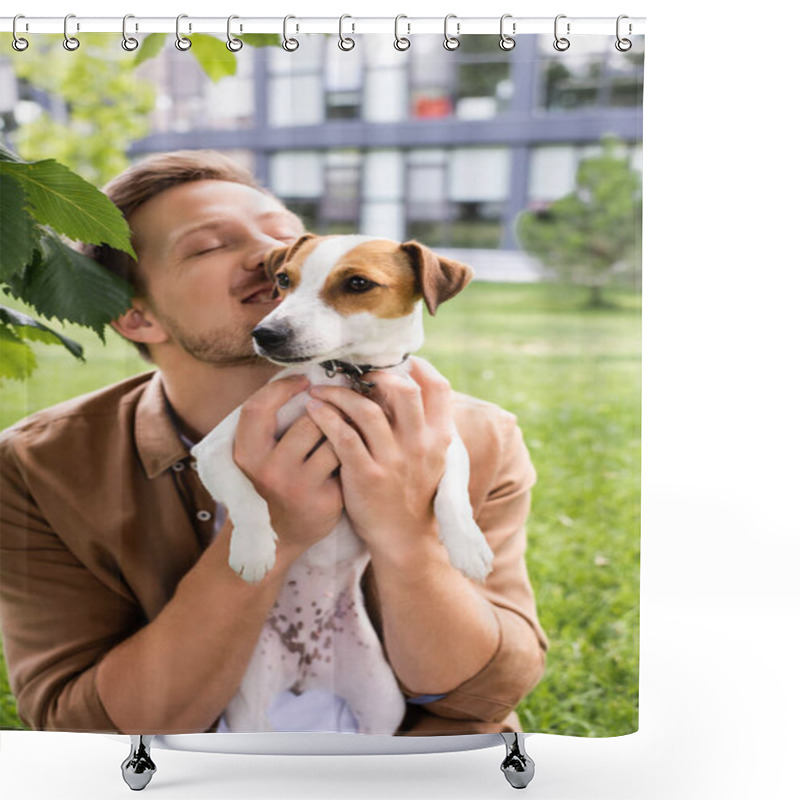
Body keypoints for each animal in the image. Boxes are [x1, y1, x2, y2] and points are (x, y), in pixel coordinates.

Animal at [192, 234, 494, 736]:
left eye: (357, 284)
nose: (266, 334)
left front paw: (469, 546)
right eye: (283, 279)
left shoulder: (444, 442)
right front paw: (254, 549)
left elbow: (453, 494)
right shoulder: (214, 448)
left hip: (380, 699)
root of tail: (306, 668)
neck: (352, 376)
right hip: (251, 703)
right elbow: (249, 499)